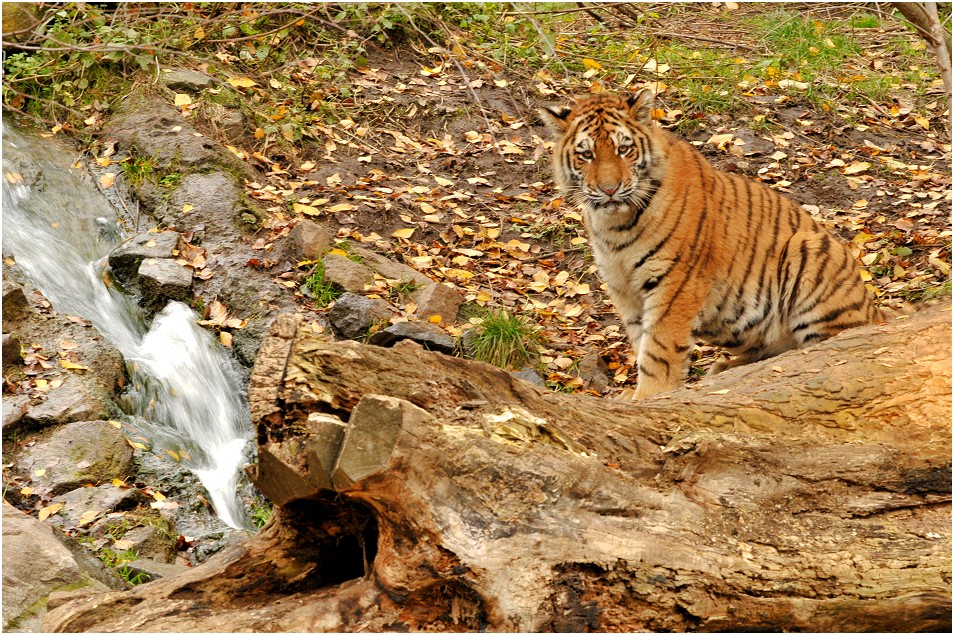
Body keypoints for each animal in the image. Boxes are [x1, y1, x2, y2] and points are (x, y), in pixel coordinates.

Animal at [540, 89, 880, 398]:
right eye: (586, 155)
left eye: (624, 149)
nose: (609, 189)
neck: (616, 225)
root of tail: (875, 311)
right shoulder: (624, 289)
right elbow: (640, 342)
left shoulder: (676, 284)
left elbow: (659, 349)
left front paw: (649, 396)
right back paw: (724, 369)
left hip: (810, 250)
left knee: (821, 349)